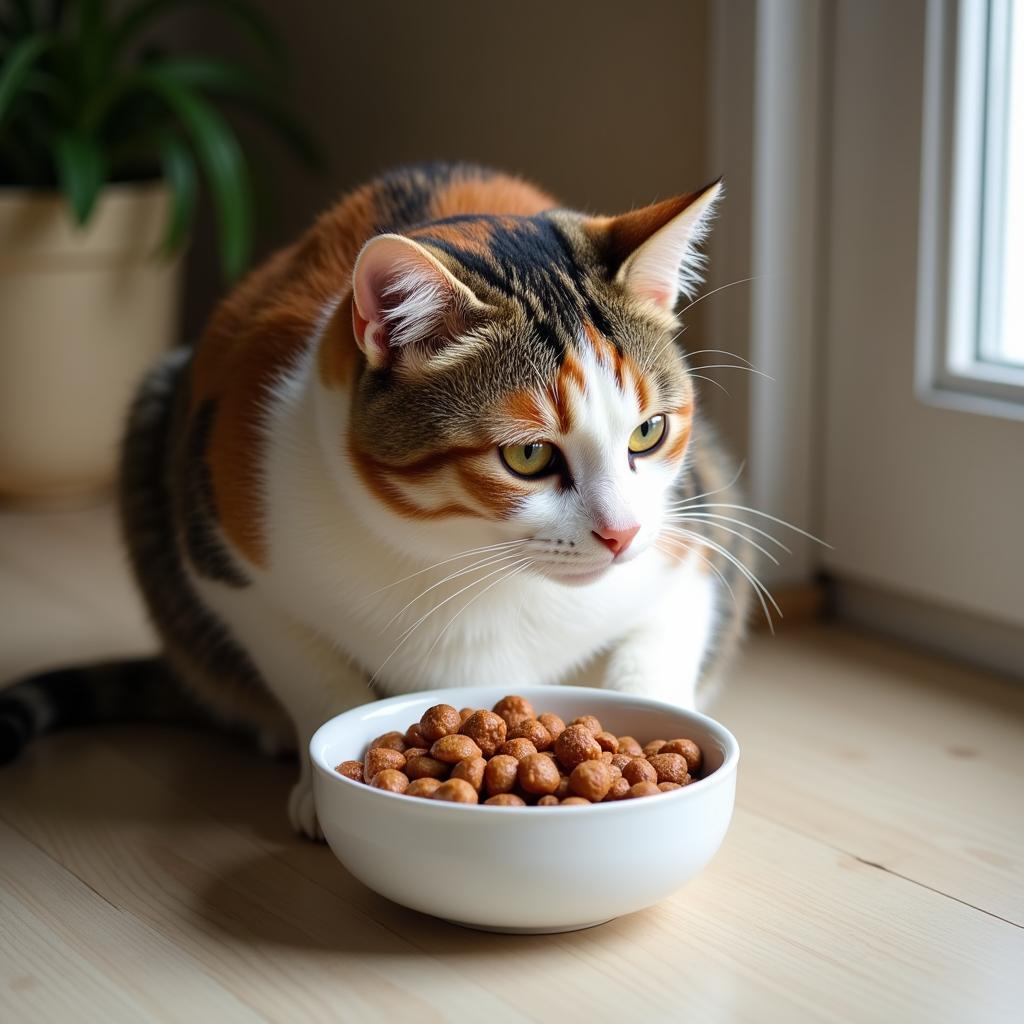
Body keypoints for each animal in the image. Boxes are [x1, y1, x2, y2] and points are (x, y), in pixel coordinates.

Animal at [0, 163, 753, 839]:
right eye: (528, 456)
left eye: (649, 432)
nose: (621, 534)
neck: (470, 563)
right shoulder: (225, 542)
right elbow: (313, 676)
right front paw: (320, 780)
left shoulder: (695, 531)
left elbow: (657, 647)